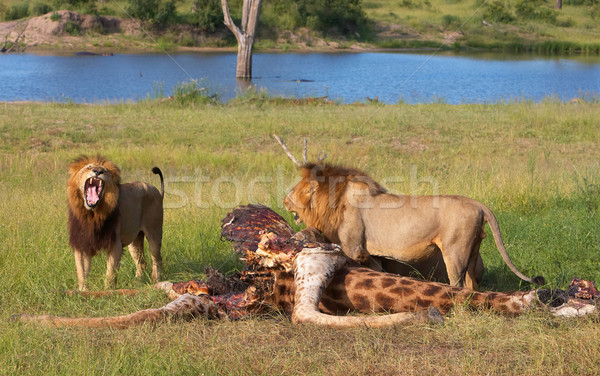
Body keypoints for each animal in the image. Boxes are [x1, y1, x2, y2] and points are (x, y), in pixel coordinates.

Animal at [67, 156, 164, 290]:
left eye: (104, 170)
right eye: (89, 167)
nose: (98, 171)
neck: (92, 215)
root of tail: (157, 191)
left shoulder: (115, 244)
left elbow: (111, 272)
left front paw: (108, 291)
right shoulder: (82, 244)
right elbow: (82, 273)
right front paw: (83, 291)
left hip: (154, 232)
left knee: (157, 259)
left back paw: (155, 281)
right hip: (135, 241)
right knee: (142, 262)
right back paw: (137, 283)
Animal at [282, 163, 544, 290]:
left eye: (295, 190)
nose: (284, 200)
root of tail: (479, 204)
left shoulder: (354, 248)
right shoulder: (372, 254)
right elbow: (378, 273)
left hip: (455, 251)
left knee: (458, 283)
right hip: (473, 250)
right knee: (472, 284)